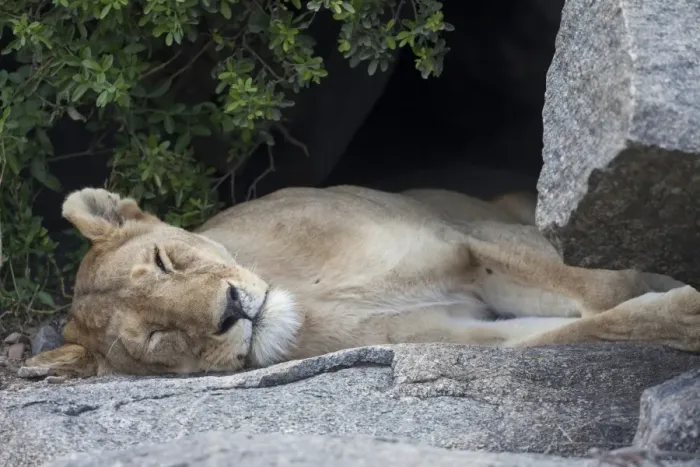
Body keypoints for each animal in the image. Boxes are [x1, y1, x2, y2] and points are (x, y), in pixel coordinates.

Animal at [24, 184, 700, 378]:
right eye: (157, 339)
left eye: (166, 260)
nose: (232, 310)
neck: (310, 293)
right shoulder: (464, 333)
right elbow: (585, 329)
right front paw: (685, 315)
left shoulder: (465, 234)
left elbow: (595, 285)